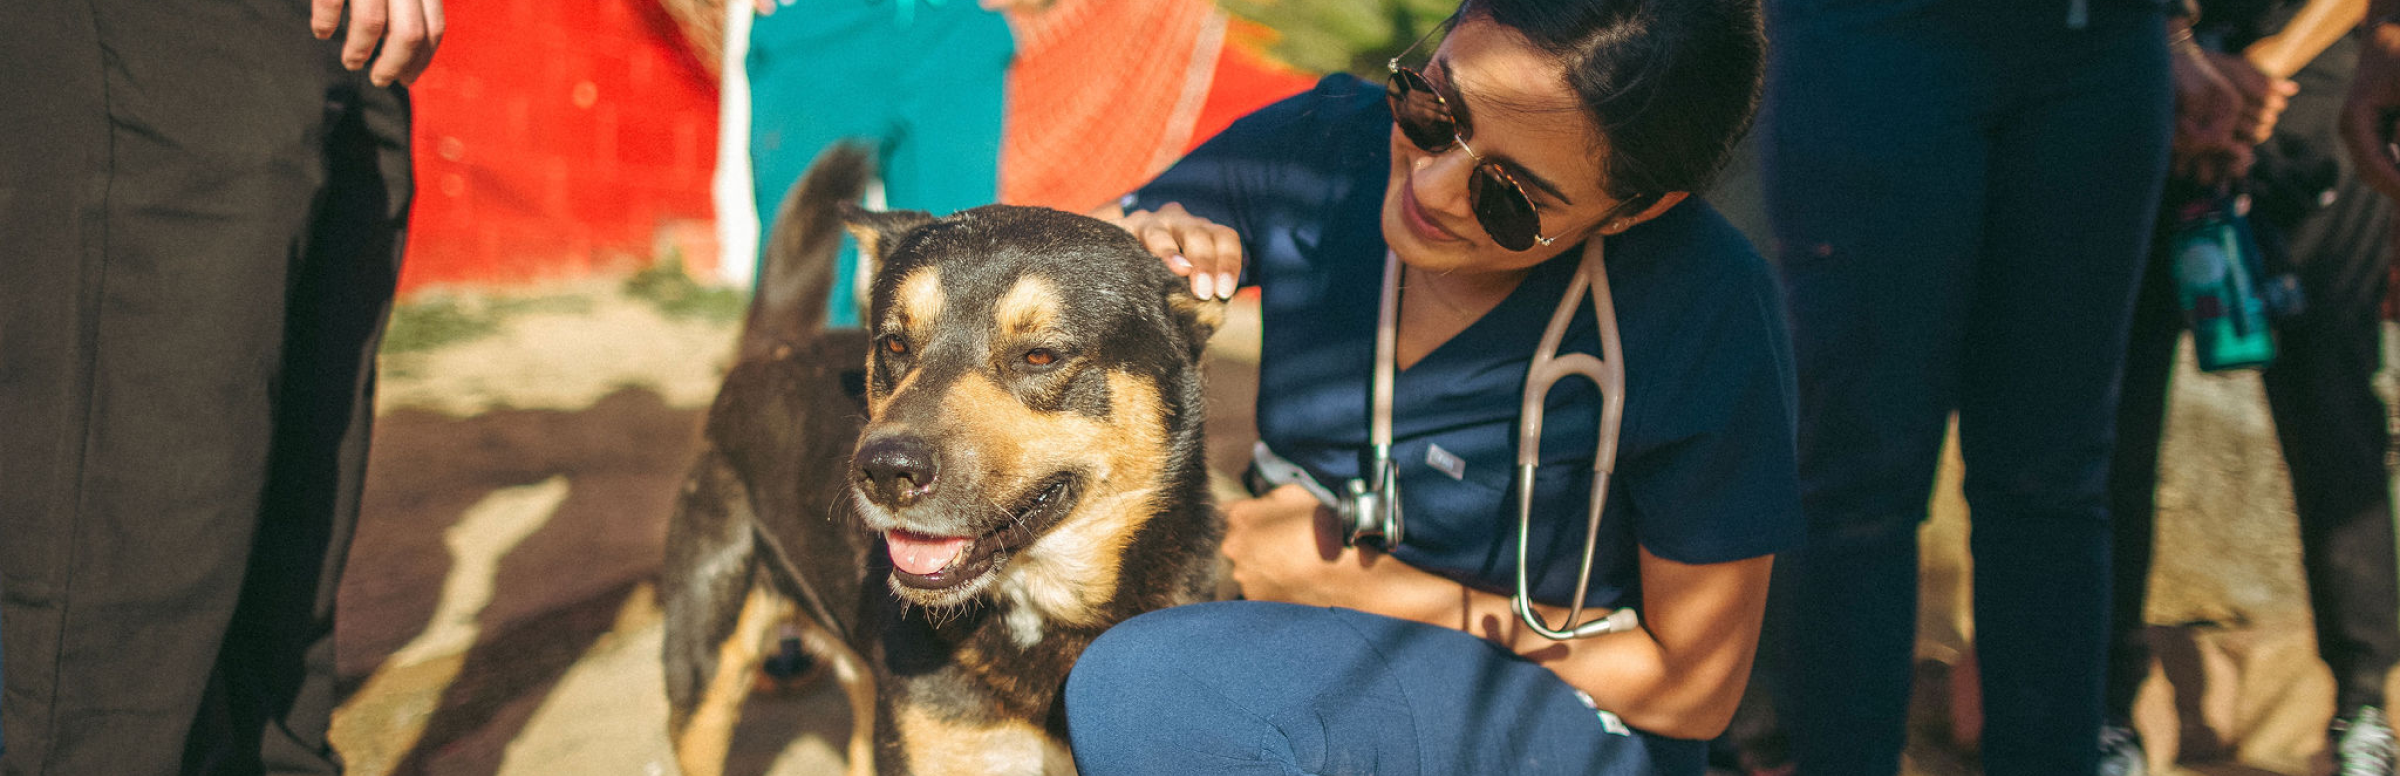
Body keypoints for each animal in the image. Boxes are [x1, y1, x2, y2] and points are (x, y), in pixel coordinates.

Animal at [657, 142, 1219, 773]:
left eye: (1040, 355)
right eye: (895, 343)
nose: (884, 472)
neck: (1040, 603)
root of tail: (769, 350)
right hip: (706, 674)